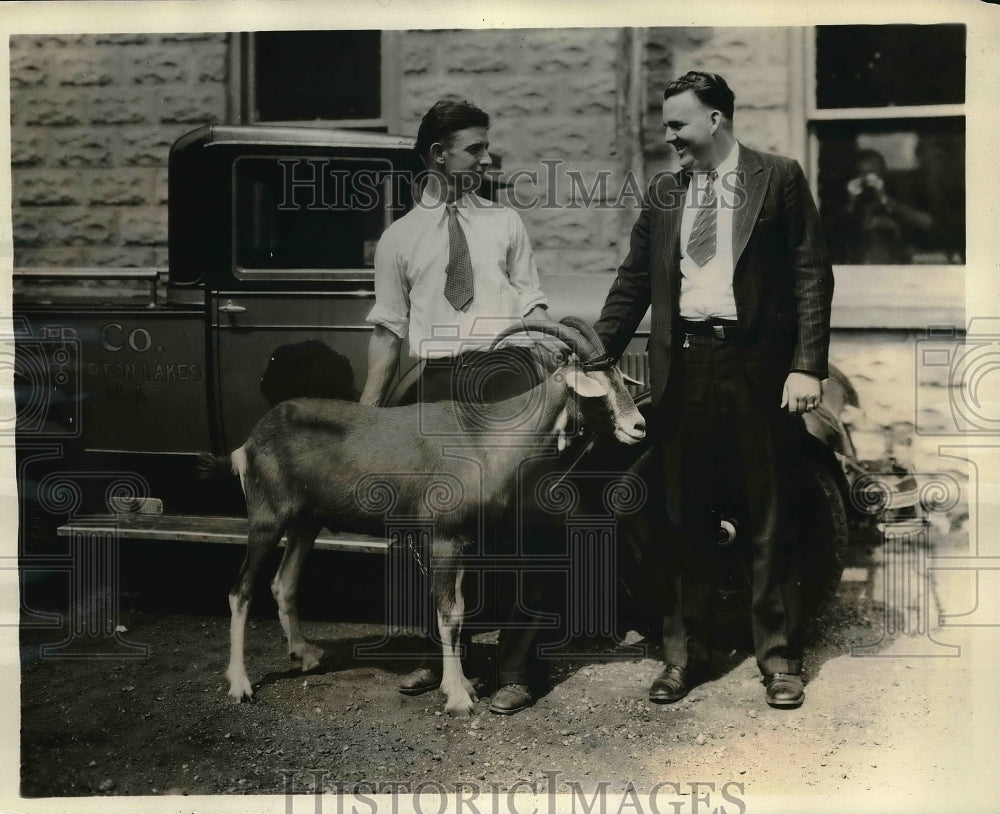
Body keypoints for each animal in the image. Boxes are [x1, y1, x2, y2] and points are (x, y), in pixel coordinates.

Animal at [201, 318, 648, 720]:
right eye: (598, 387)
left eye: (620, 379)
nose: (638, 426)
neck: (482, 438)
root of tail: (248, 443)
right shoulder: (443, 538)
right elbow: (448, 613)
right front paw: (458, 698)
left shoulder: (464, 542)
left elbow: (461, 609)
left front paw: (462, 684)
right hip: (267, 518)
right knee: (240, 592)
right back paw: (240, 685)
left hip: (304, 522)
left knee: (283, 582)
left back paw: (307, 655)